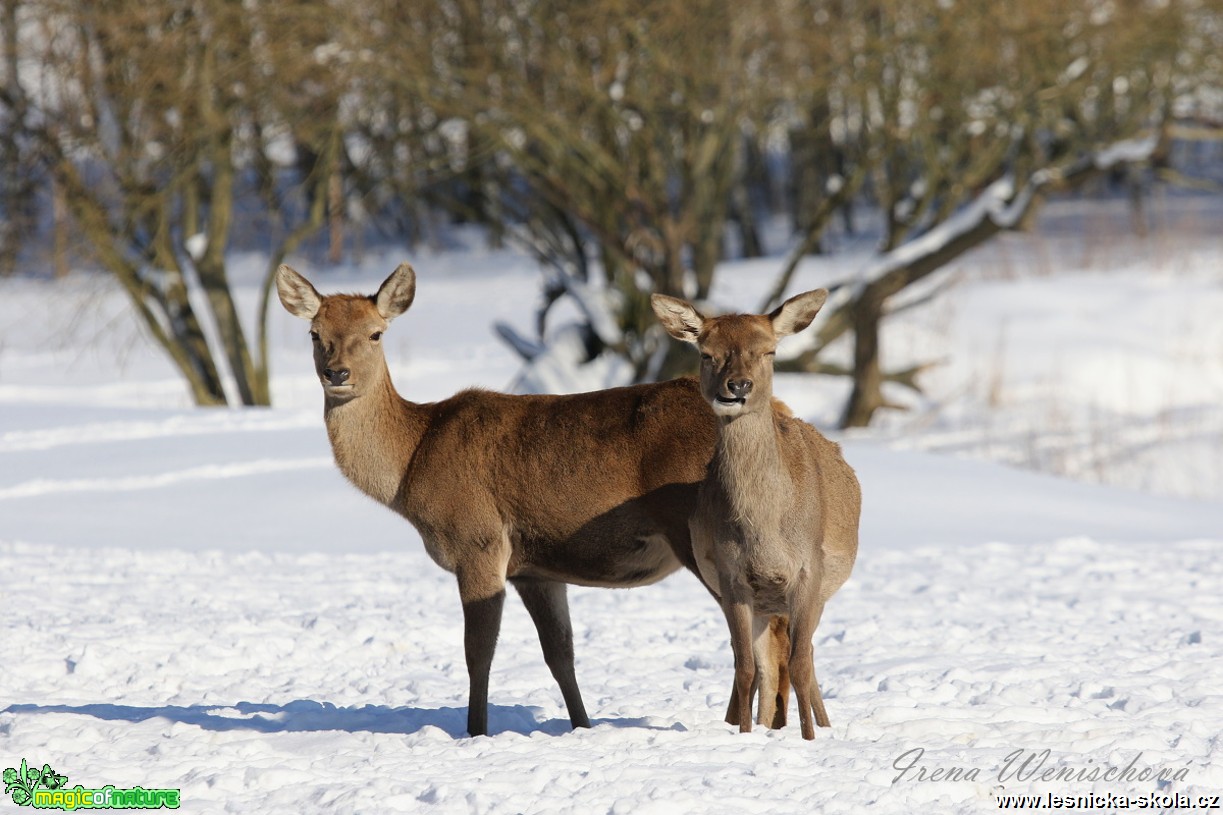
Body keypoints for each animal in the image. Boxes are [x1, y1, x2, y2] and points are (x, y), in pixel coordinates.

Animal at [277, 261, 792, 734]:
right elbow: (559, 654)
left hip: (706, 537)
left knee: (766, 637)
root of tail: (781, 414)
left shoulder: (479, 541)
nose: (337, 373)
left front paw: (476, 731)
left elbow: (478, 652)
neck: (412, 463)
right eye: (315, 333)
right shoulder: (535, 570)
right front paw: (582, 726)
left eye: (376, 333)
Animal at [650, 287, 860, 734]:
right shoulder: (733, 578)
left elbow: (799, 667)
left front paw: (810, 740)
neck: (766, 534)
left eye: (769, 351)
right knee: (768, 663)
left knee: (806, 660)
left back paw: (825, 726)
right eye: (706, 353)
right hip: (764, 604)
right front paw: (745, 735)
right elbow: (745, 667)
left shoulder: (808, 572)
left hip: (821, 592)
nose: (738, 385)